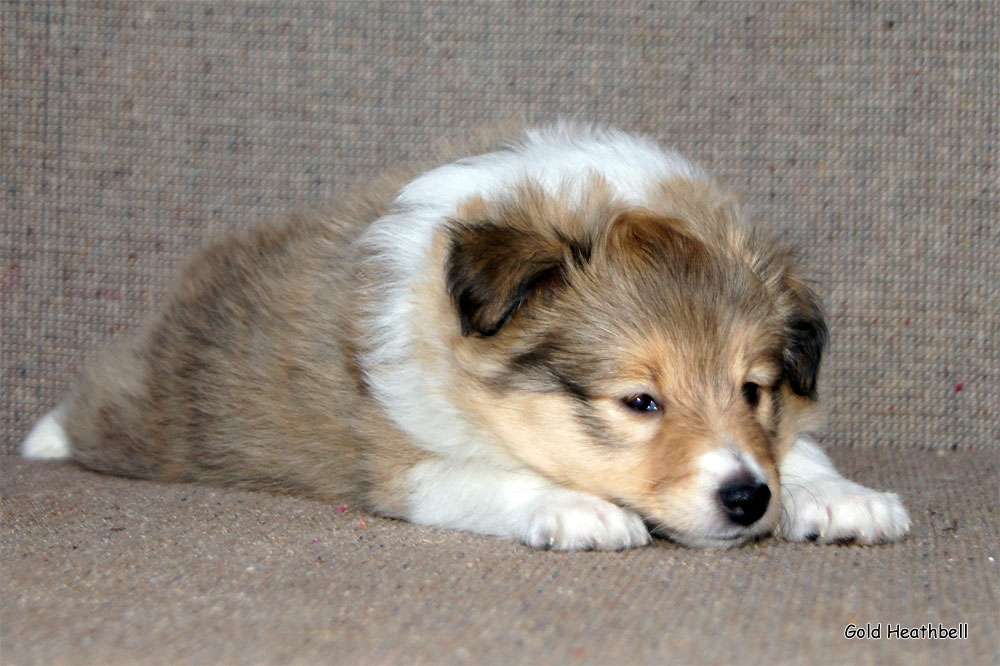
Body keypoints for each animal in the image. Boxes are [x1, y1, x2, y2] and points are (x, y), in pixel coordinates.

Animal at [21, 124, 916, 548]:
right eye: (639, 401)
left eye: (754, 389)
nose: (746, 500)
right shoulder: (406, 462)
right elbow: (500, 477)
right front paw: (578, 508)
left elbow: (801, 449)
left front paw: (836, 494)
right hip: (161, 420)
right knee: (103, 398)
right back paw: (44, 438)